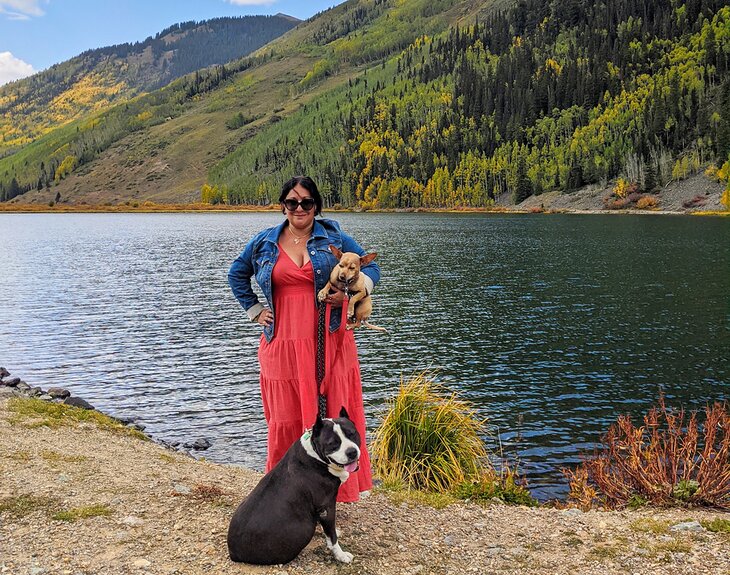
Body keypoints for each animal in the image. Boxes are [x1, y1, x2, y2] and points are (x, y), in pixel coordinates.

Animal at [226, 408, 360, 564]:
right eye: (333, 443)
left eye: (352, 434)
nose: (351, 452)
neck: (315, 455)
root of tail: (233, 553)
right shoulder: (326, 506)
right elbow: (332, 537)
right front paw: (341, 555)